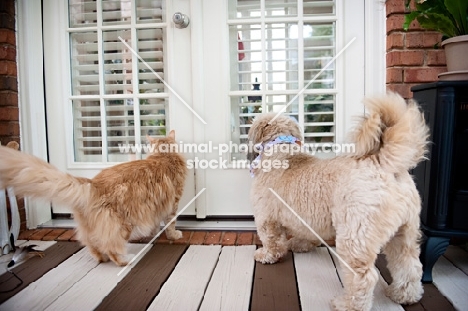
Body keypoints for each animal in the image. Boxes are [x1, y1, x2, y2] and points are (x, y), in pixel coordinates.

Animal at [0, 131, 186, 266]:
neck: (164, 156)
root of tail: (93, 184)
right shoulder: (173, 203)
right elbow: (170, 223)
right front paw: (173, 235)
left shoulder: (156, 205)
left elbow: (156, 221)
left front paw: (154, 233)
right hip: (122, 225)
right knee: (112, 247)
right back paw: (125, 260)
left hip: (92, 227)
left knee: (92, 244)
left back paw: (101, 258)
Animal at [250, 93, 430, 311]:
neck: (282, 150)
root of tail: (384, 164)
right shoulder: (305, 219)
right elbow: (304, 234)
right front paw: (300, 245)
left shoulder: (266, 218)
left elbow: (271, 241)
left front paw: (266, 255)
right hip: (405, 234)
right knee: (409, 265)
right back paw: (404, 295)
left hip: (354, 237)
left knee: (364, 278)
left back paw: (347, 304)